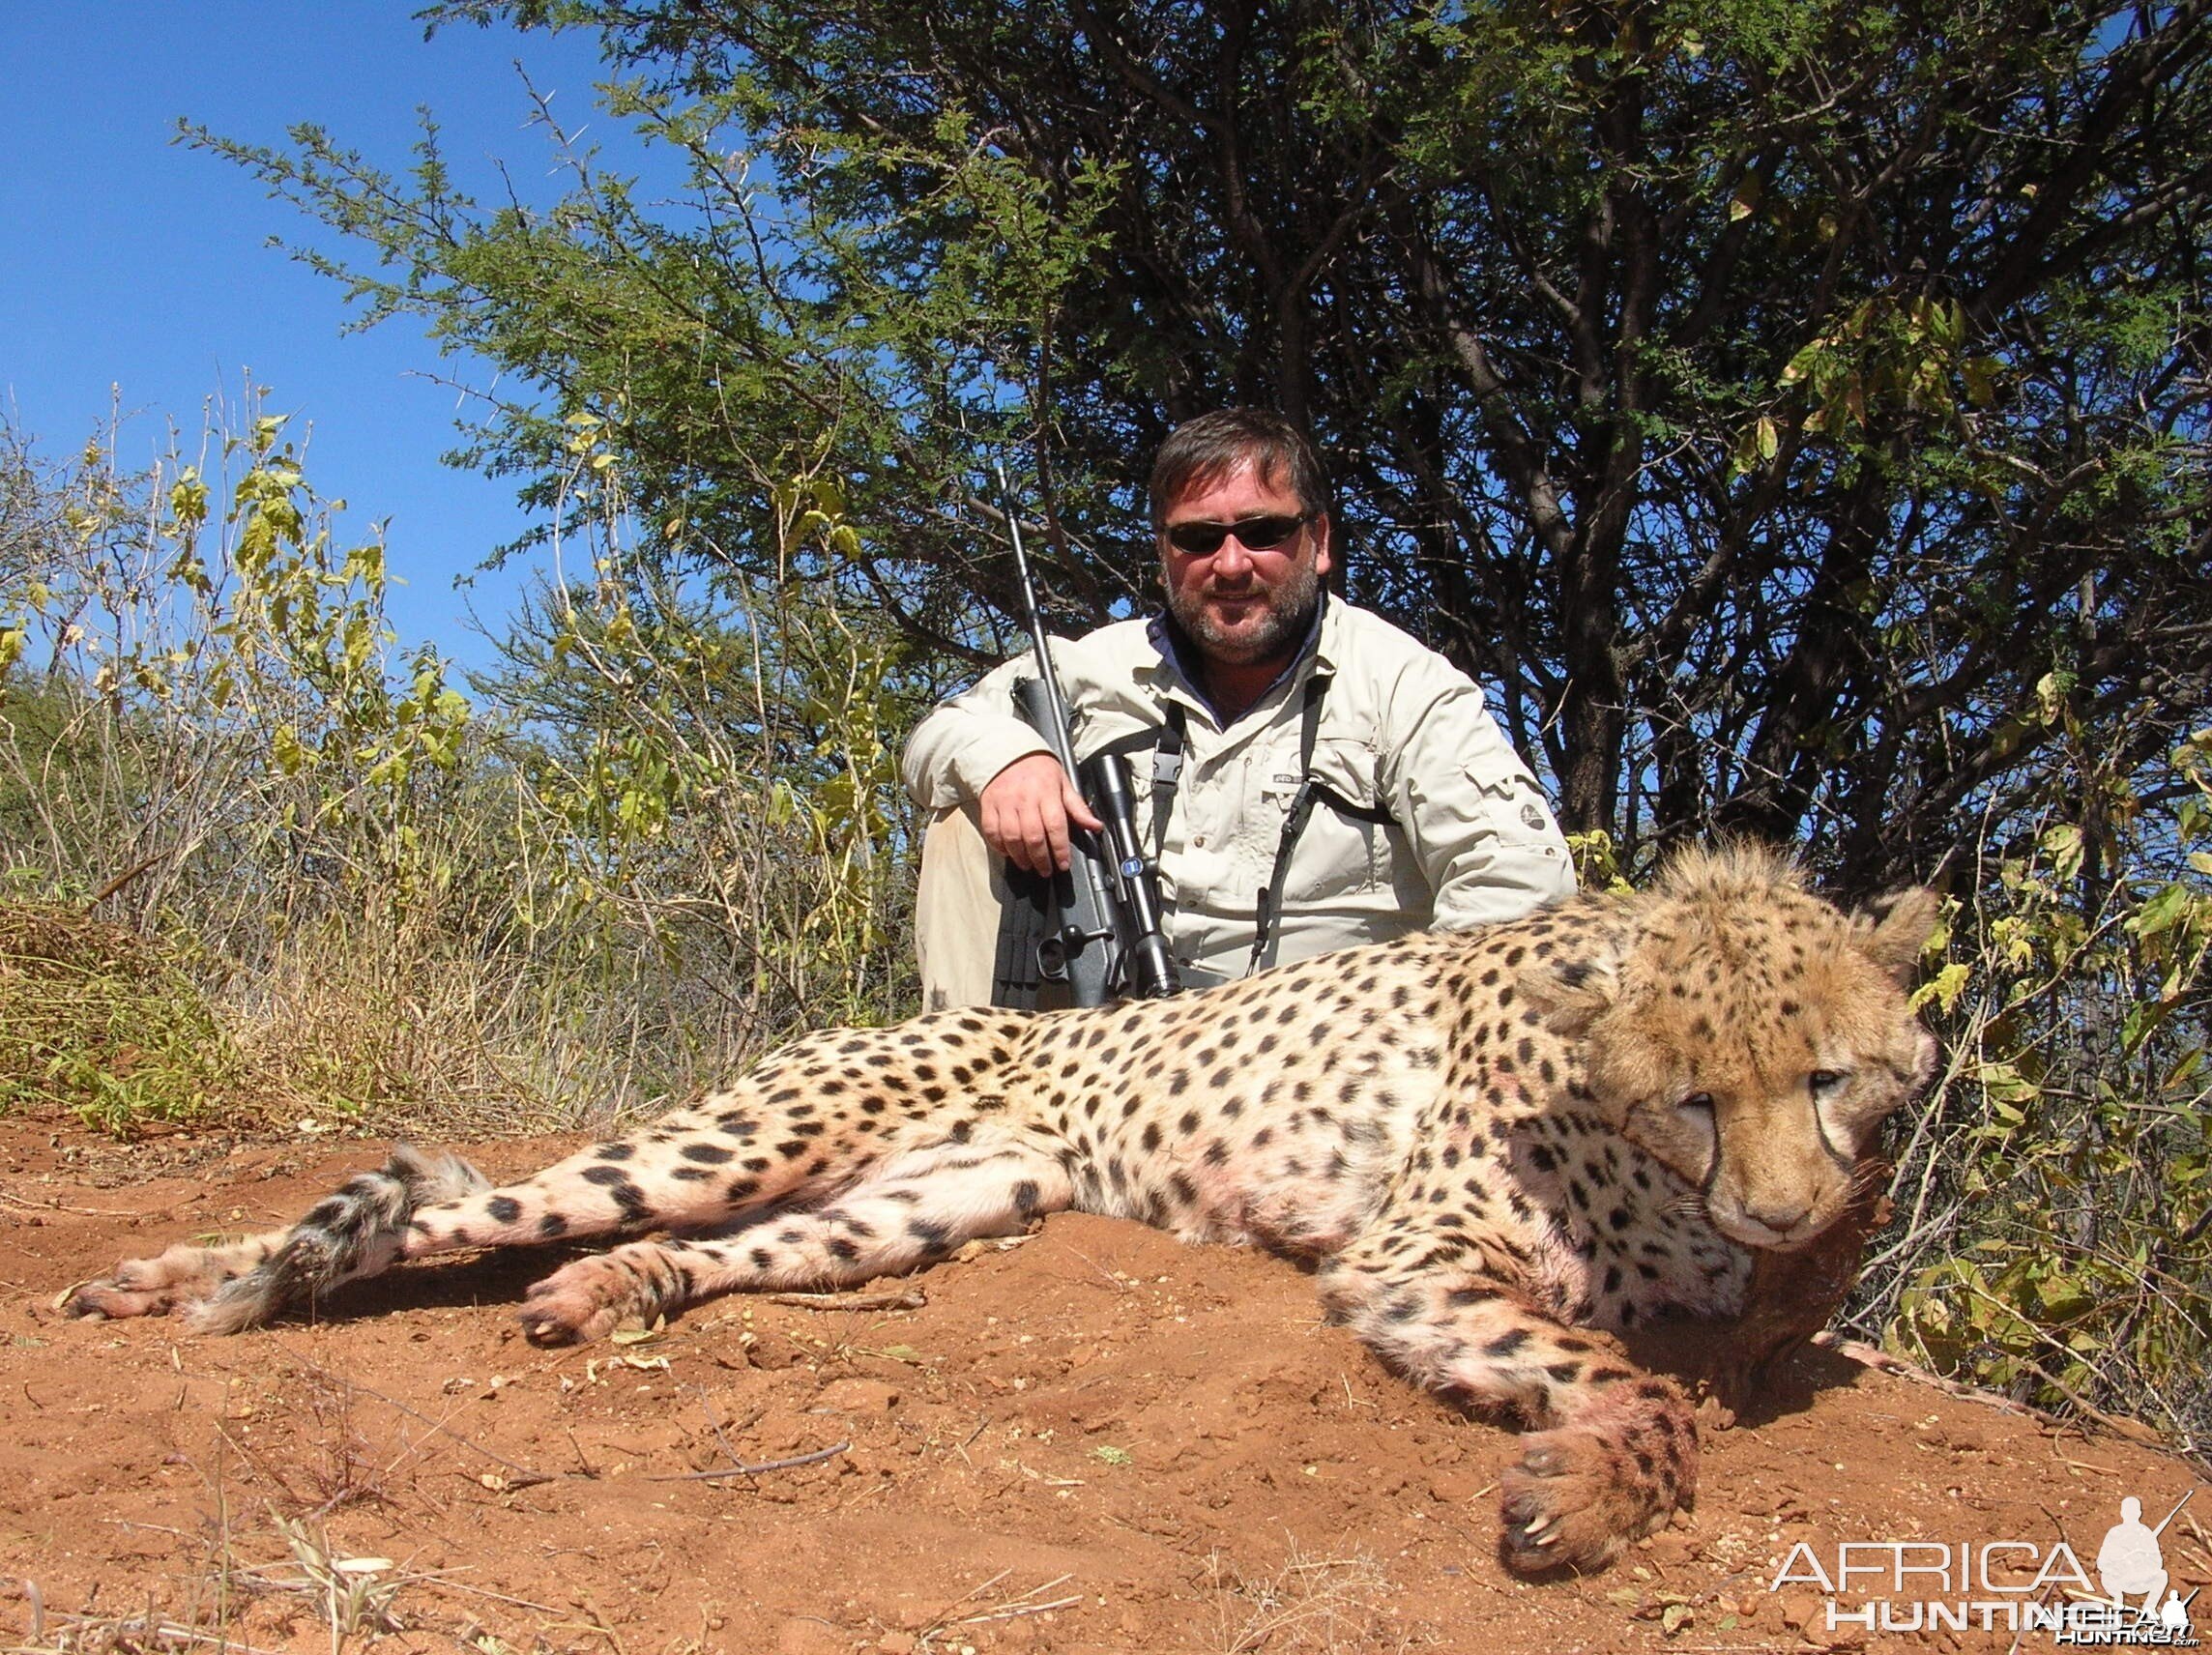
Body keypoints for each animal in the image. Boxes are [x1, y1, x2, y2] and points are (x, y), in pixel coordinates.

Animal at [64, 845, 1937, 1575]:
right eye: (1694, 1093)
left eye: (1831, 1077)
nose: (1782, 1211)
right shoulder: (1413, 1258)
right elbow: (1637, 1389)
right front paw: (1588, 1486)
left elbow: (1733, 1354)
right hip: (754, 1136)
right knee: (462, 1203)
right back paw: (177, 1281)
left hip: (932, 1204)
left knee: (659, 1245)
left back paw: (613, 1295)